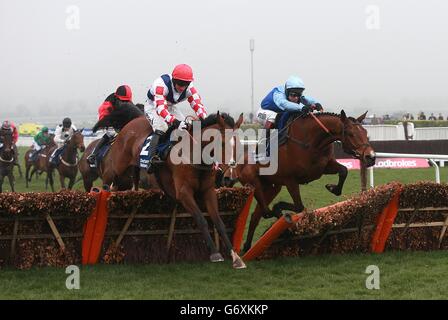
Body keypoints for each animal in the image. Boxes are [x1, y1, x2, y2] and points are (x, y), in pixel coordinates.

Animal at [103, 112, 247, 268]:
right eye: (222, 143)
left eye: (239, 144)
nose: (230, 177)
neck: (196, 156)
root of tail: (130, 124)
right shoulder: (184, 193)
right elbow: (201, 219)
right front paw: (215, 254)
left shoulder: (208, 191)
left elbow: (219, 222)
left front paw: (235, 257)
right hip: (117, 167)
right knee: (109, 181)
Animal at [236, 110, 376, 252]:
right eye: (350, 133)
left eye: (365, 132)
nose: (371, 157)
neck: (313, 142)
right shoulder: (290, 180)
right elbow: (300, 207)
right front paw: (279, 208)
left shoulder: (323, 168)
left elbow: (343, 171)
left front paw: (332, 187)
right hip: (253, 182)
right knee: (264, 211)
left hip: (272, 188)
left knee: (256, 216)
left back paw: (247, 247)